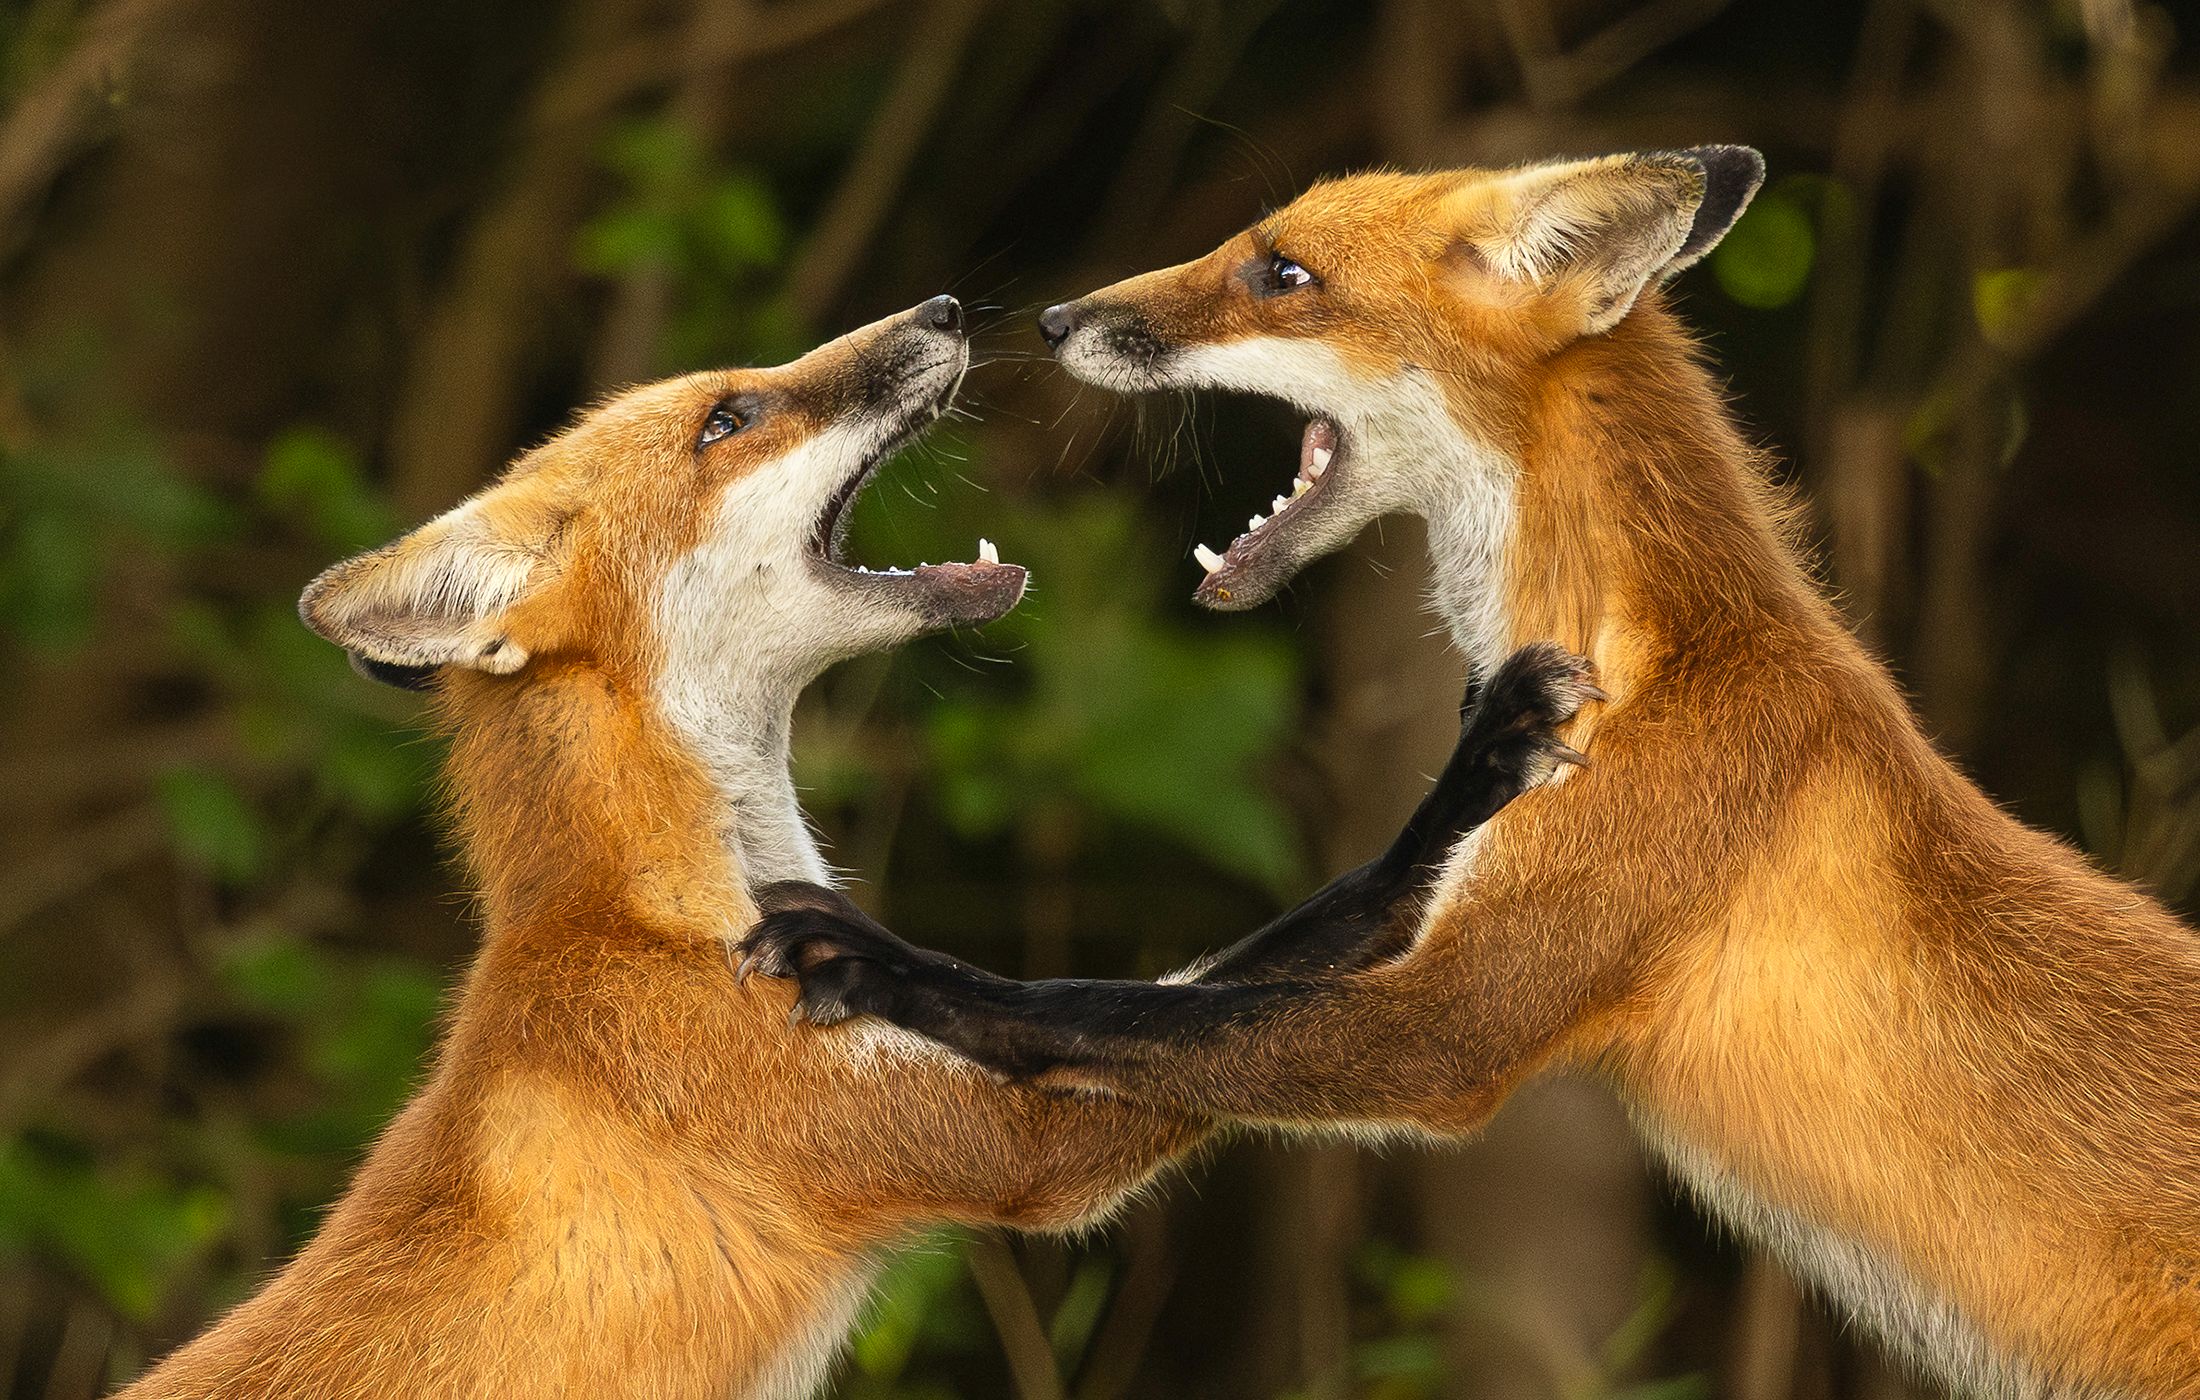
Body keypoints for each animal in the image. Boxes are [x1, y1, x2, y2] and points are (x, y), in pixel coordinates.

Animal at [115, 295, 1594, 1400]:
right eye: (728, 418)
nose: (941, 307)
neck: (655, 914)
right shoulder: (1008, 1144)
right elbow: (1213, 975)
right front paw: (1469, 779)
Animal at [738, 155, 2200, 1397]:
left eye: (1281, 272)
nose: (1051, 320)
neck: (1640, 646)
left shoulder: (1454, 1025)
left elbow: (1099, 1007)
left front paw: (887, 967)